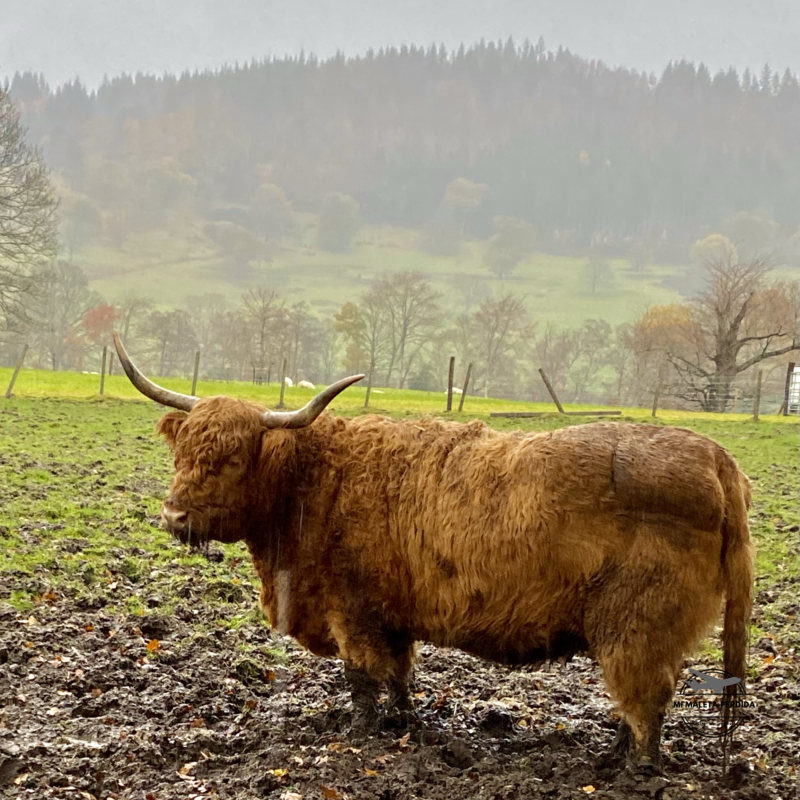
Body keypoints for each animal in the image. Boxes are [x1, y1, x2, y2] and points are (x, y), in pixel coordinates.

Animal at [112, 332, 753, 771]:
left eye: (230, 458)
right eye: (183, 451)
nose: (173, 516)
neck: (312, 482)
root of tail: (715, 456)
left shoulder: (354, 611)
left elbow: (362, 678)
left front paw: (359, 735)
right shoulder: (393, 617)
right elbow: (398, 676)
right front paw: (406, 726)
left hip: (639, 622)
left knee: (646, 699)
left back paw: (633, 769)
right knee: (639, 697)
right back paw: (610, 757)